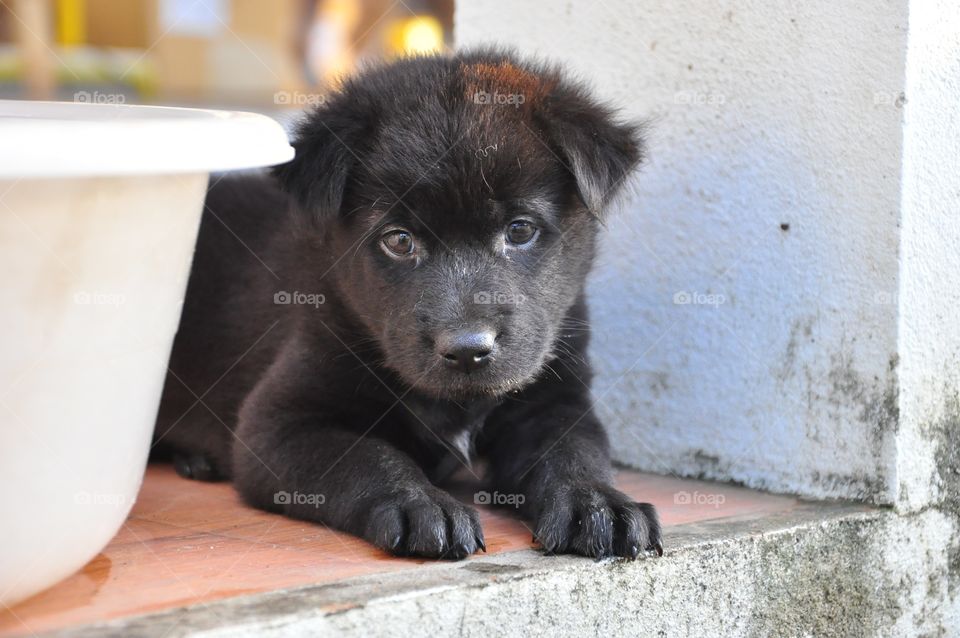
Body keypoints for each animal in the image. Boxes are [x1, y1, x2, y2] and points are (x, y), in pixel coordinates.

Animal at [152, 48, 660, 560]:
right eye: (399, 240)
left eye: (520, 230)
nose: (468, 350)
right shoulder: (279, 422)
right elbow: (369, 455)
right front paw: (419, 503)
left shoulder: (554, 397)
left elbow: (574, 449)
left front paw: (595, 501)